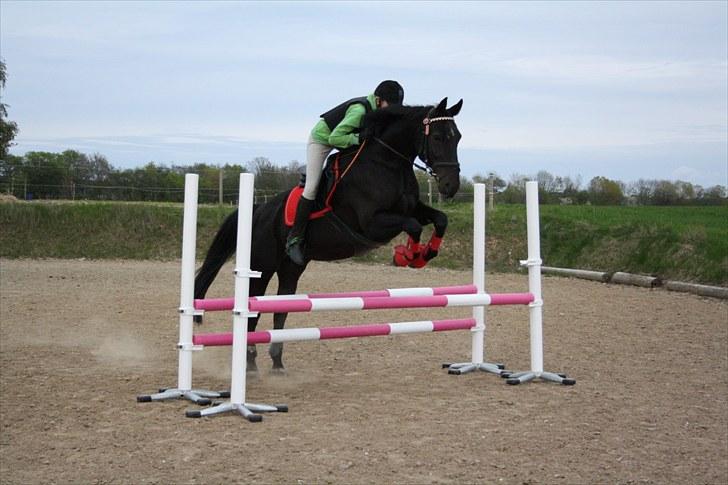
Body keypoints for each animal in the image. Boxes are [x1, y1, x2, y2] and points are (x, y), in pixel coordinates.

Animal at [195, 97, 460, 370]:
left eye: (458, 137)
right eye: (437, 137)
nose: (451, 186)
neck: (388, 162)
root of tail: (259, 210)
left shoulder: (412, 208)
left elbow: (440, 219)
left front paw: (425, 254)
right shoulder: (372, 223)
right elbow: (413, 225)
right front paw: (407, 256)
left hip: (290, 269)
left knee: (280, 310)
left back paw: (277, 362)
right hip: (262, 266)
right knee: (252, 310)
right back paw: (250, 364)